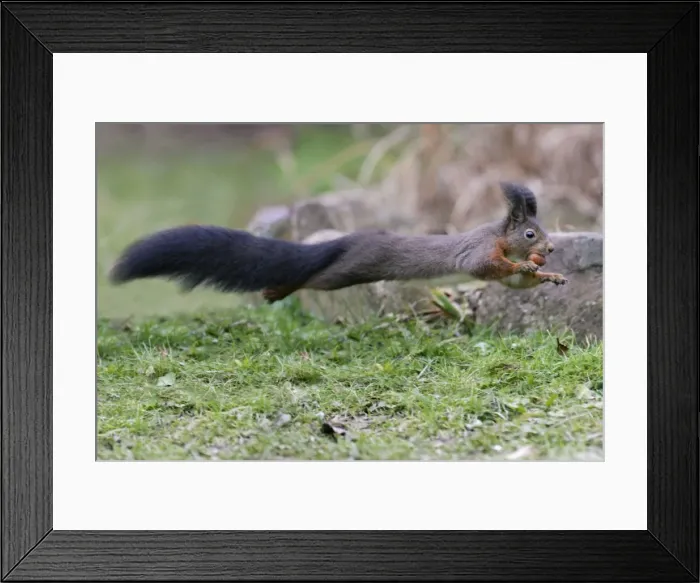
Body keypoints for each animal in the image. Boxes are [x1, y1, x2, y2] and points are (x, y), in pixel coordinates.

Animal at [109, 182, 568, 303]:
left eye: (545, 233)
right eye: (531, 233)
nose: (550, 249)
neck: (501, 237)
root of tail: (347, 240)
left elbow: (513, 283)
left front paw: (549, 276)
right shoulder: (478, 251)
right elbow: (482, 267)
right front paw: (526, 264)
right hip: (346, 271)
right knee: (314, 278)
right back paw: (280, 289)